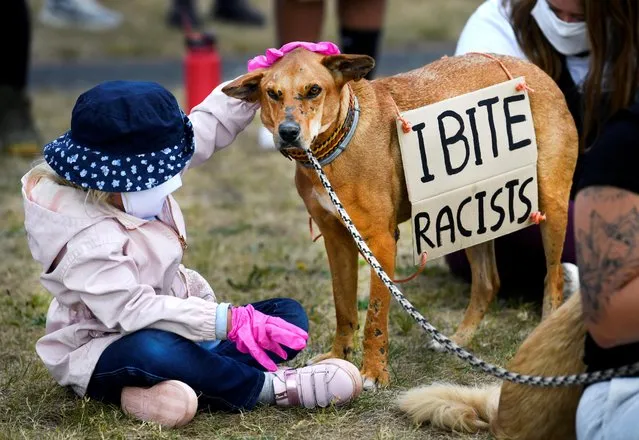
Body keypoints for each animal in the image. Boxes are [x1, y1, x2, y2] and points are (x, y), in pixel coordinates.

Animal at [224, 47, 580, 384]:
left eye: (314, 90)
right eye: (272, 93)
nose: (288, 132)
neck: (335, 145)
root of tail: (534, 70)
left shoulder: (380, 243)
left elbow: (376, 317)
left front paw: (373, 373)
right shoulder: (336, 239)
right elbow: (343, 306)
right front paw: (338, 356)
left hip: (552, 205)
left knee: (553, 278)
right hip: (468, 215)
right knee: (487, 282)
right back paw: (458, 340)